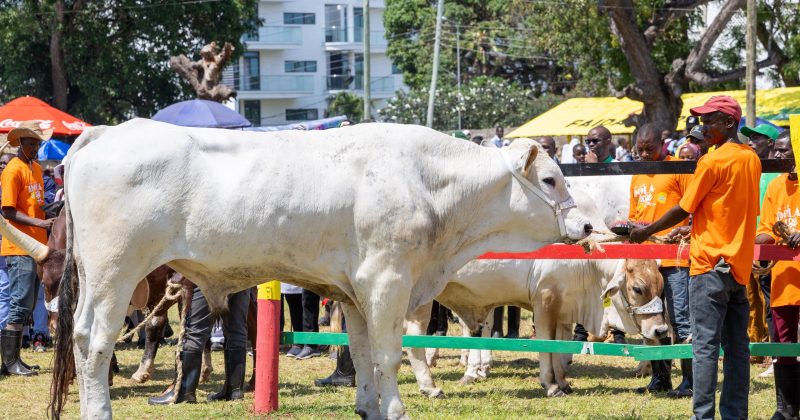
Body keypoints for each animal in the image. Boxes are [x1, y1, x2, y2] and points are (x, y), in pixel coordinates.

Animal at [19, 120, 593, 420]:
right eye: (550, 178)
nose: (587, 224)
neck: (426, 183)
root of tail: (104, 133)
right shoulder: (388, 280)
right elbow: (387, 354)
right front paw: (396, 409)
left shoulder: (356, 291)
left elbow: (362, 354)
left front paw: (368, 407)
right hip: (115, 271)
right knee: (94, 341)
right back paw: (99, 410)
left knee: (81, 338)